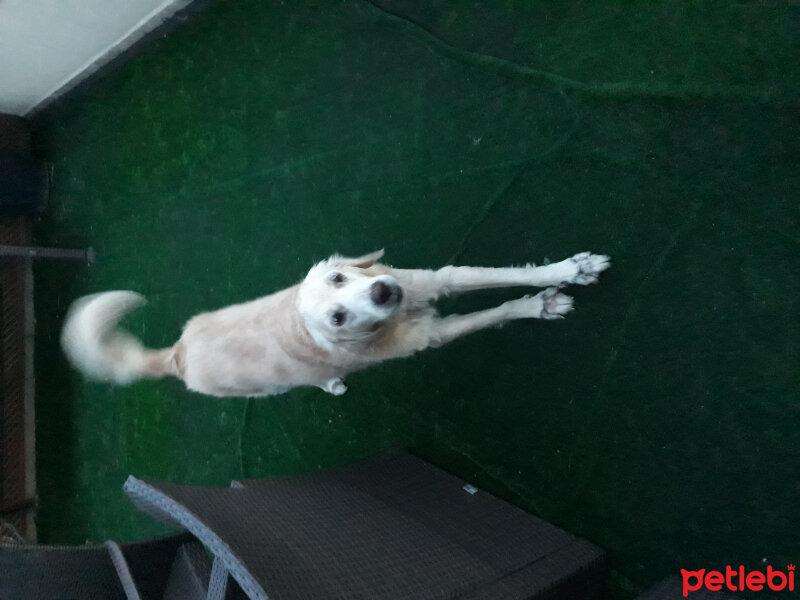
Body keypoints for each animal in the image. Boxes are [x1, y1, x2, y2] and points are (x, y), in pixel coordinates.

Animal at [62, 250, 608, 398]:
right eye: (338, 317)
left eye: (341, 276)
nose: (384, 292)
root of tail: (174, 353)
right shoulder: (431, 336)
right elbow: (493, 313)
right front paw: (540, 307)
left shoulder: (432, 280)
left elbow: (494, 275)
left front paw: (569, 270)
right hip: (262, 388)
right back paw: (329, 382)